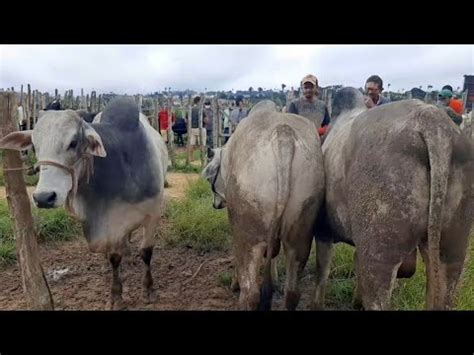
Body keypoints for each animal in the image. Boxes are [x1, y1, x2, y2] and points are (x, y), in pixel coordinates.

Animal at [0, 98, 168, 312]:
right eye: (35, 146)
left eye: (73, 143)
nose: (44, 197)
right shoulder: (109, 224)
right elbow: (114, 257)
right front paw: (116, 296)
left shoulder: (153, 214)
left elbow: (146, 252)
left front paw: (148, 290)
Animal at [200, 100, 326, 312]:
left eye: (210, 178)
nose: (215, 204)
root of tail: (282, 133)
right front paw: (274, 278)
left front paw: (234, 283)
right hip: (300, 231)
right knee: (292, 292)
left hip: (249, 236)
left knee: (251, 293)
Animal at [312, 88, 472, 312]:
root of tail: (432, 121)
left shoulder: (323, 230)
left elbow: (322, 271)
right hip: (451, 251)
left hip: (380, 254)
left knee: (378, 298)